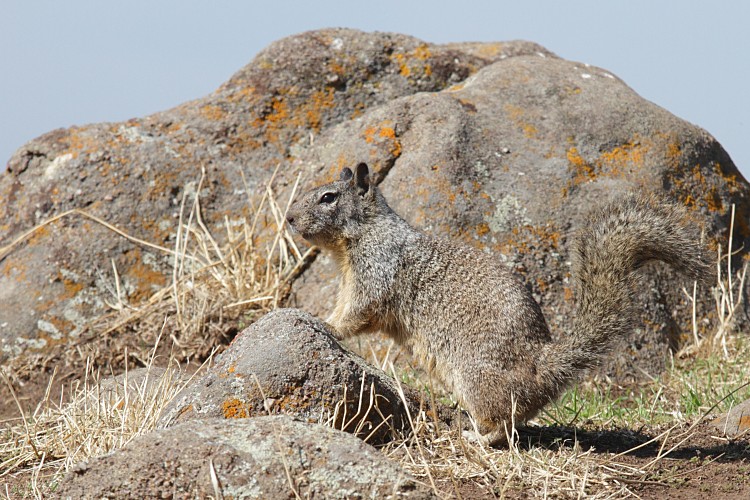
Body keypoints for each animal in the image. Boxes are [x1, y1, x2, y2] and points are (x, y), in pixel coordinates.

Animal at [286, 162, 712, 444]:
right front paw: (313, 316)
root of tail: (544, 368)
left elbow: (359, 313)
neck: (361, 236)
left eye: (328, 197)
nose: (289, 218)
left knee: (503, 427)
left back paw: (473, 437)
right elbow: (347, 308)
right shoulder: (350, 281)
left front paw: (325, 325)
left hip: (475, 378)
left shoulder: (376, 272)